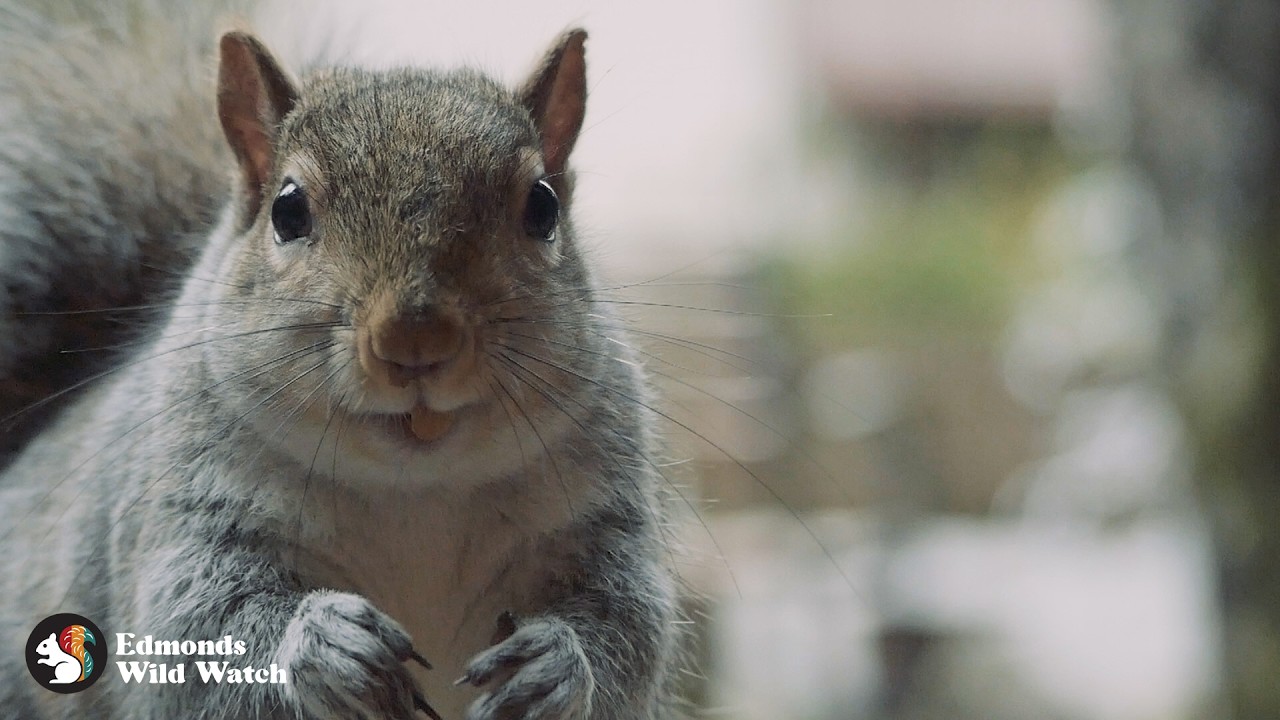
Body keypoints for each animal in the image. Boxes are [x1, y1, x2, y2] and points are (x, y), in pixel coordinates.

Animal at [0, 3, 684, 719]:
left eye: (543, 206)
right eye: (288, 210)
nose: (417, 339)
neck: (417, 487)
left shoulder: (603, 523)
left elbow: (629, 624)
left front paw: (556, 665)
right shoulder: (186, 522)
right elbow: (199, 628)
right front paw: (326, 646)